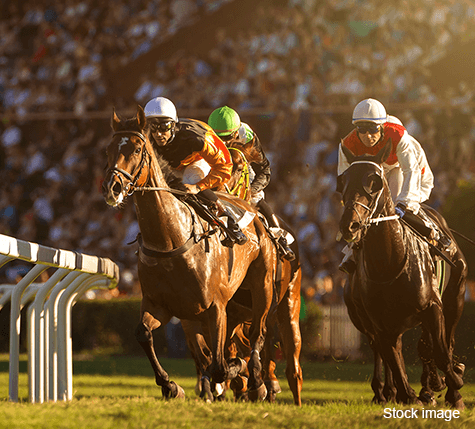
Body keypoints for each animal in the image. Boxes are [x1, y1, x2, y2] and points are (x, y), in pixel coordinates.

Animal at [102, 105, 278, 400]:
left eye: (137, 149)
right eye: (108, 149)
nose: (112, 188)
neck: (170, 240)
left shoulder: (215, 308)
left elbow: (219, 366)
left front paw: (235, 373)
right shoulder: (160, 305)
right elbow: (143, 334)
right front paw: (170, 385)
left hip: (261, 286)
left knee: (258, 334)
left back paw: (257, 382)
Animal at [338, 140, 468, 408]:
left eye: (374, 181)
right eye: (342, 181)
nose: (350, 225)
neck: (390, 262)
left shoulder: (433, 306)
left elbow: (440, 351)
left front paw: (453, 384)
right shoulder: (379, 322)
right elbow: (394, 357)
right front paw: (407, 394)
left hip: (456, 297)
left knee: (442, 343)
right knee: (393, 349)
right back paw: (392, 391)